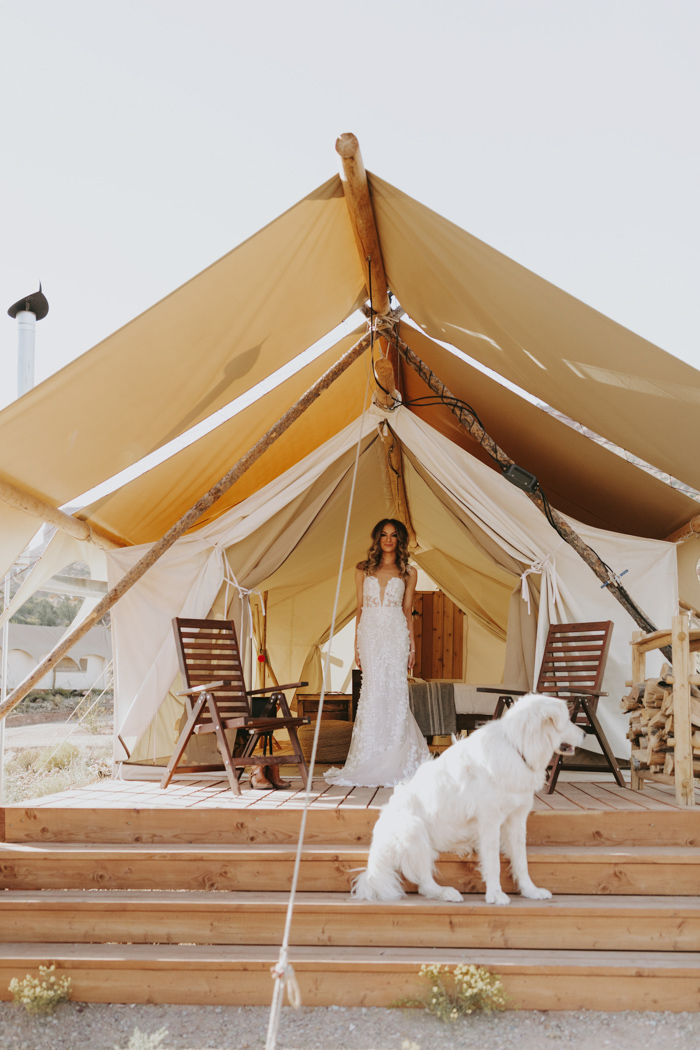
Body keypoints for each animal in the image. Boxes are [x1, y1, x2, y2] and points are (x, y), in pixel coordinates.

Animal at [352, 692, 587, 907]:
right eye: (567, 720)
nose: (585, 734)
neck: (517, 748)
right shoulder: (490, 821)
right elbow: (493, 862)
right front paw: (495, 895)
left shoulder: (517, 820)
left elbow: (521, 861)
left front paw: (530, 890)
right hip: (413, 828)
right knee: (425, 884)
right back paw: (447, 892)